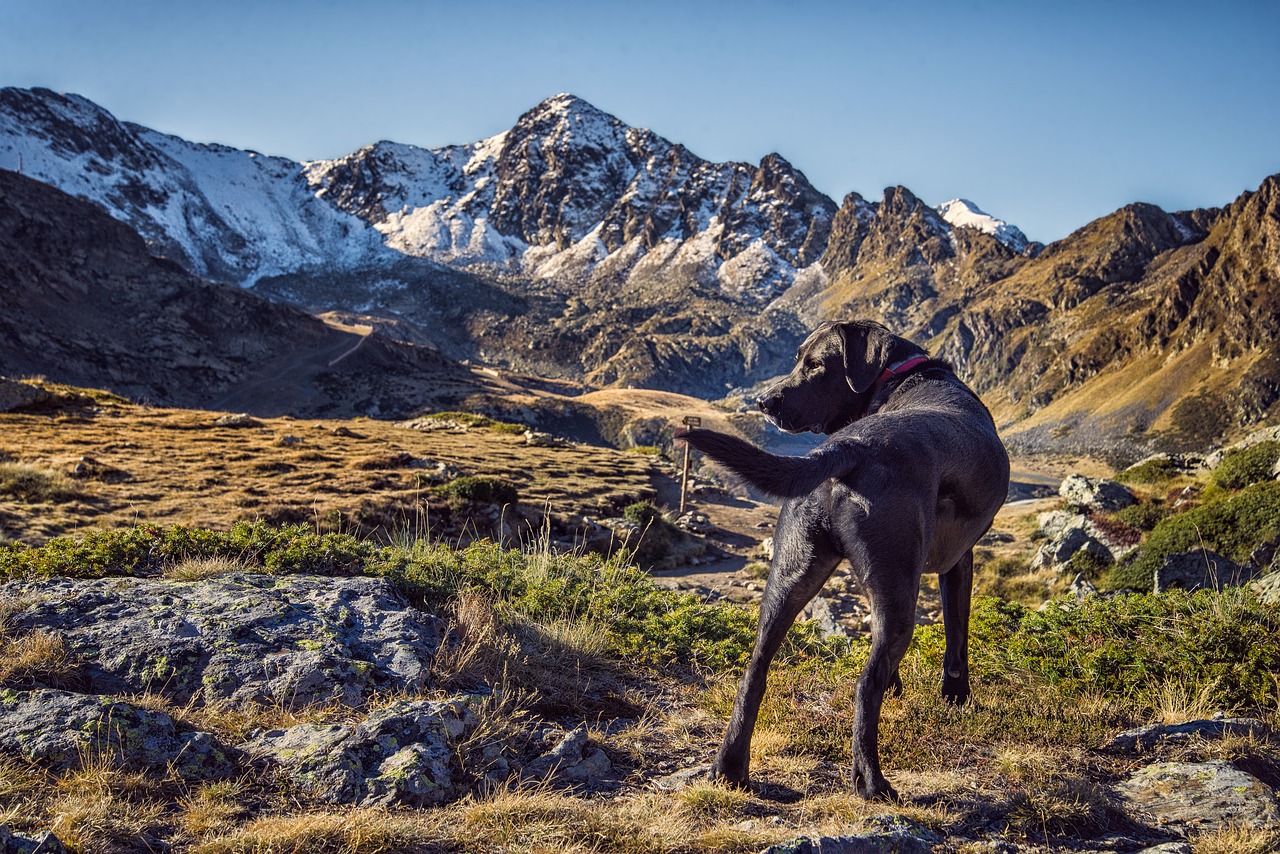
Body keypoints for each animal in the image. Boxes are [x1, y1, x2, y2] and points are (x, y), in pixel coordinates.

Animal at [680, 317, 1008, 798]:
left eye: (813, 363)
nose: (763, 401)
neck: (903, 375)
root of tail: (847, 447)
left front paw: (903, 688)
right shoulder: (958, 561)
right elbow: (956, 636)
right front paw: (956, 699)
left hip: (791, 575)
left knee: (755, 670)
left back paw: (730, 768)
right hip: (899, 588)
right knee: (864, 685)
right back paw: (871, 781)